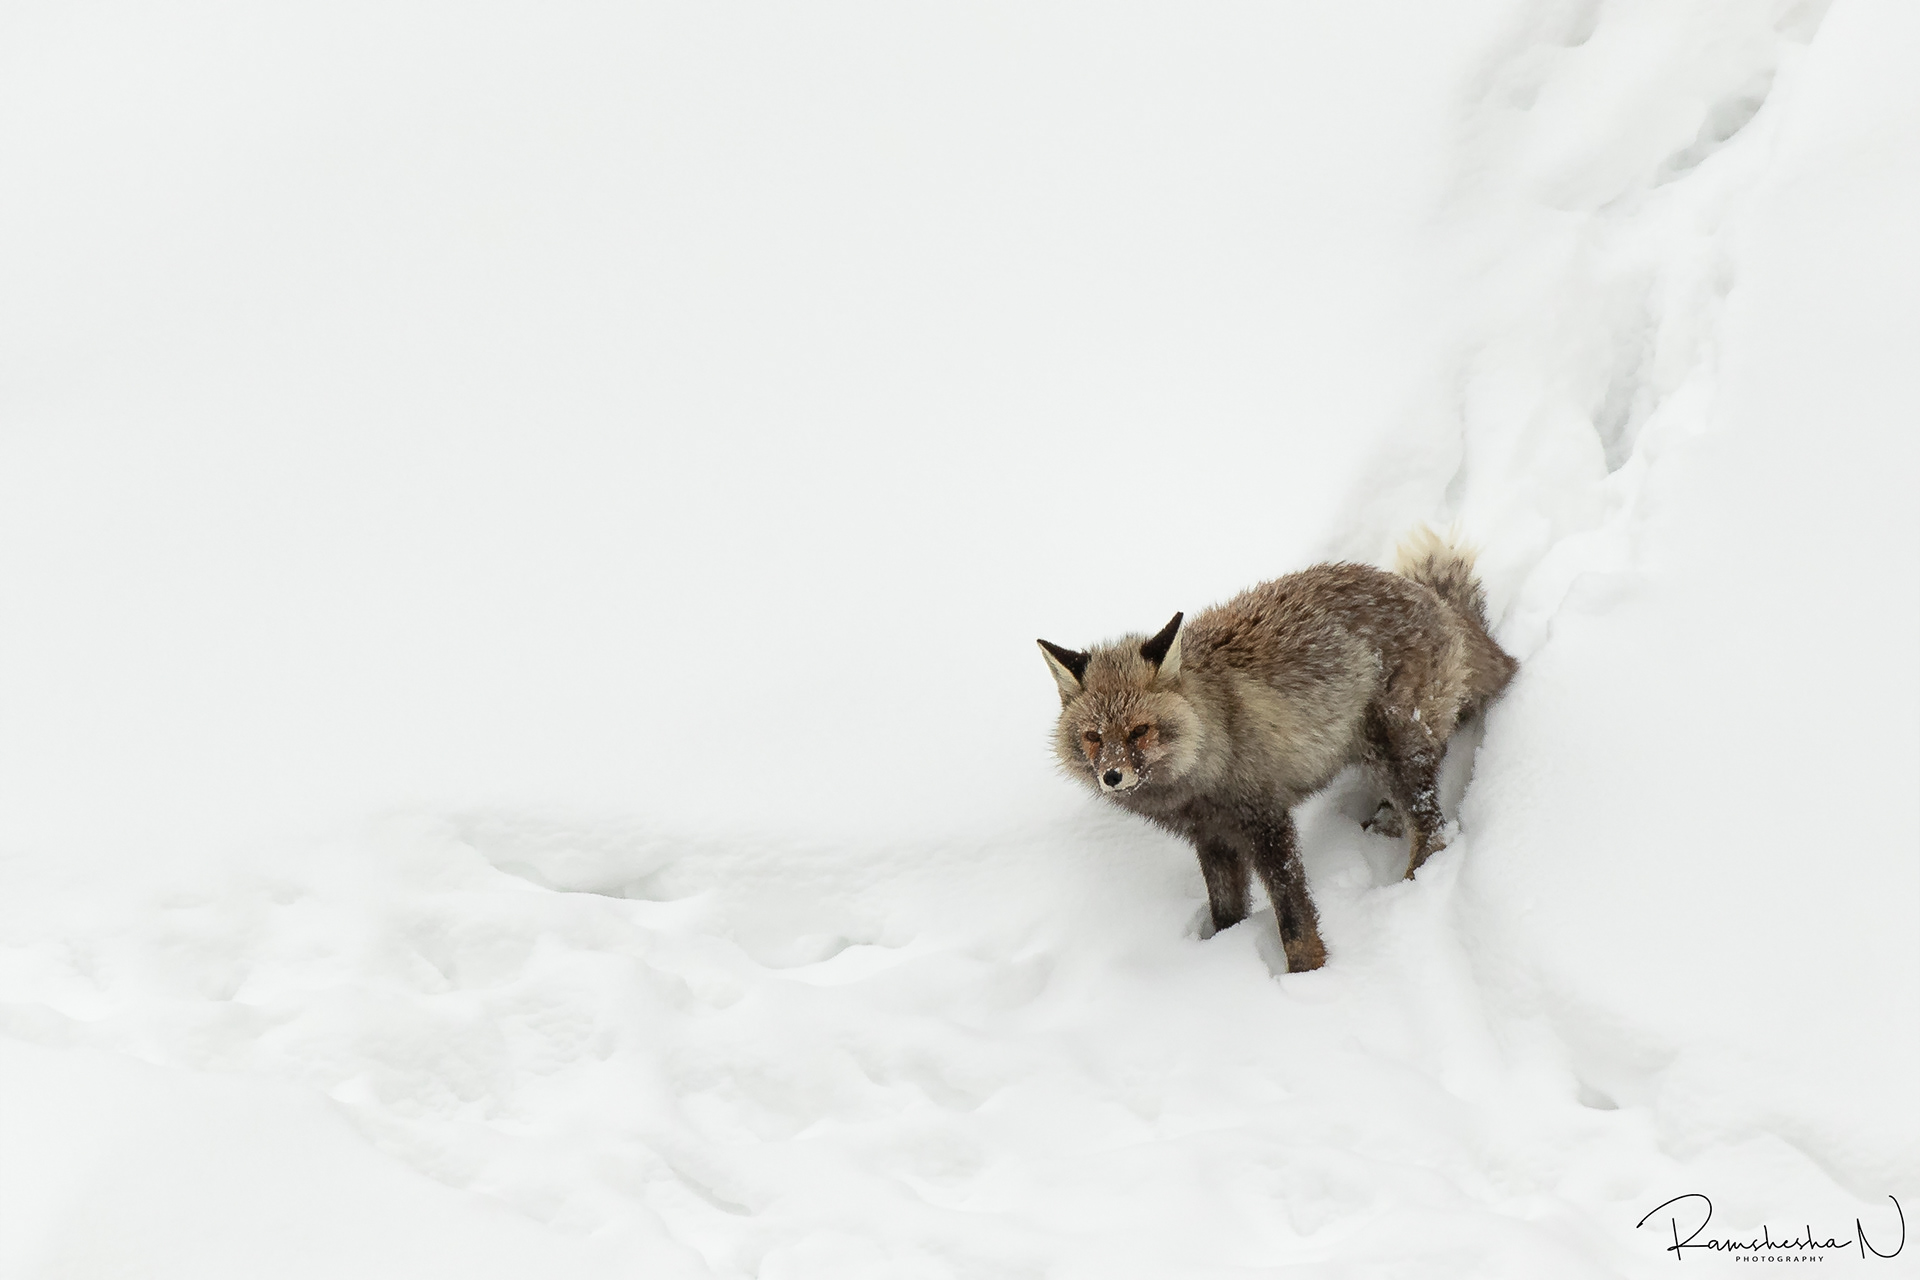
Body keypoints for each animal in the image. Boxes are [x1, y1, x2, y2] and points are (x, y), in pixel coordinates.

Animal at [1037, 528, 1517, 973]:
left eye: (1139, 731)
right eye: (1094, 737)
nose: (1111, 777)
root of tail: (1432, 599)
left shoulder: (1267, 821)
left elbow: (1294, 916)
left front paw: (1307, 976)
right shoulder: (1213, 837)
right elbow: (1226, 913)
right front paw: (1224, 954)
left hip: (1392, 745)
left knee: (1433, 829)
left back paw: (1412, 890)